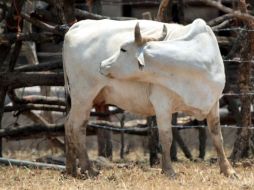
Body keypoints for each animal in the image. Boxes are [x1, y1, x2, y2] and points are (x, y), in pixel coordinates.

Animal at [62, 18, 236, 177]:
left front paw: (228, 170)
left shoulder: (213, 102)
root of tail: (79, 25)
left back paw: (71, 170)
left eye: (123, 49)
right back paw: (88, 169)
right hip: (83, 95)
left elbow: (217, 136)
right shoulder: (162, 104)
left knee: (70, 125)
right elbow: (166, 137)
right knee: (77, 126)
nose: (102, 64)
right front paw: (168, 170)